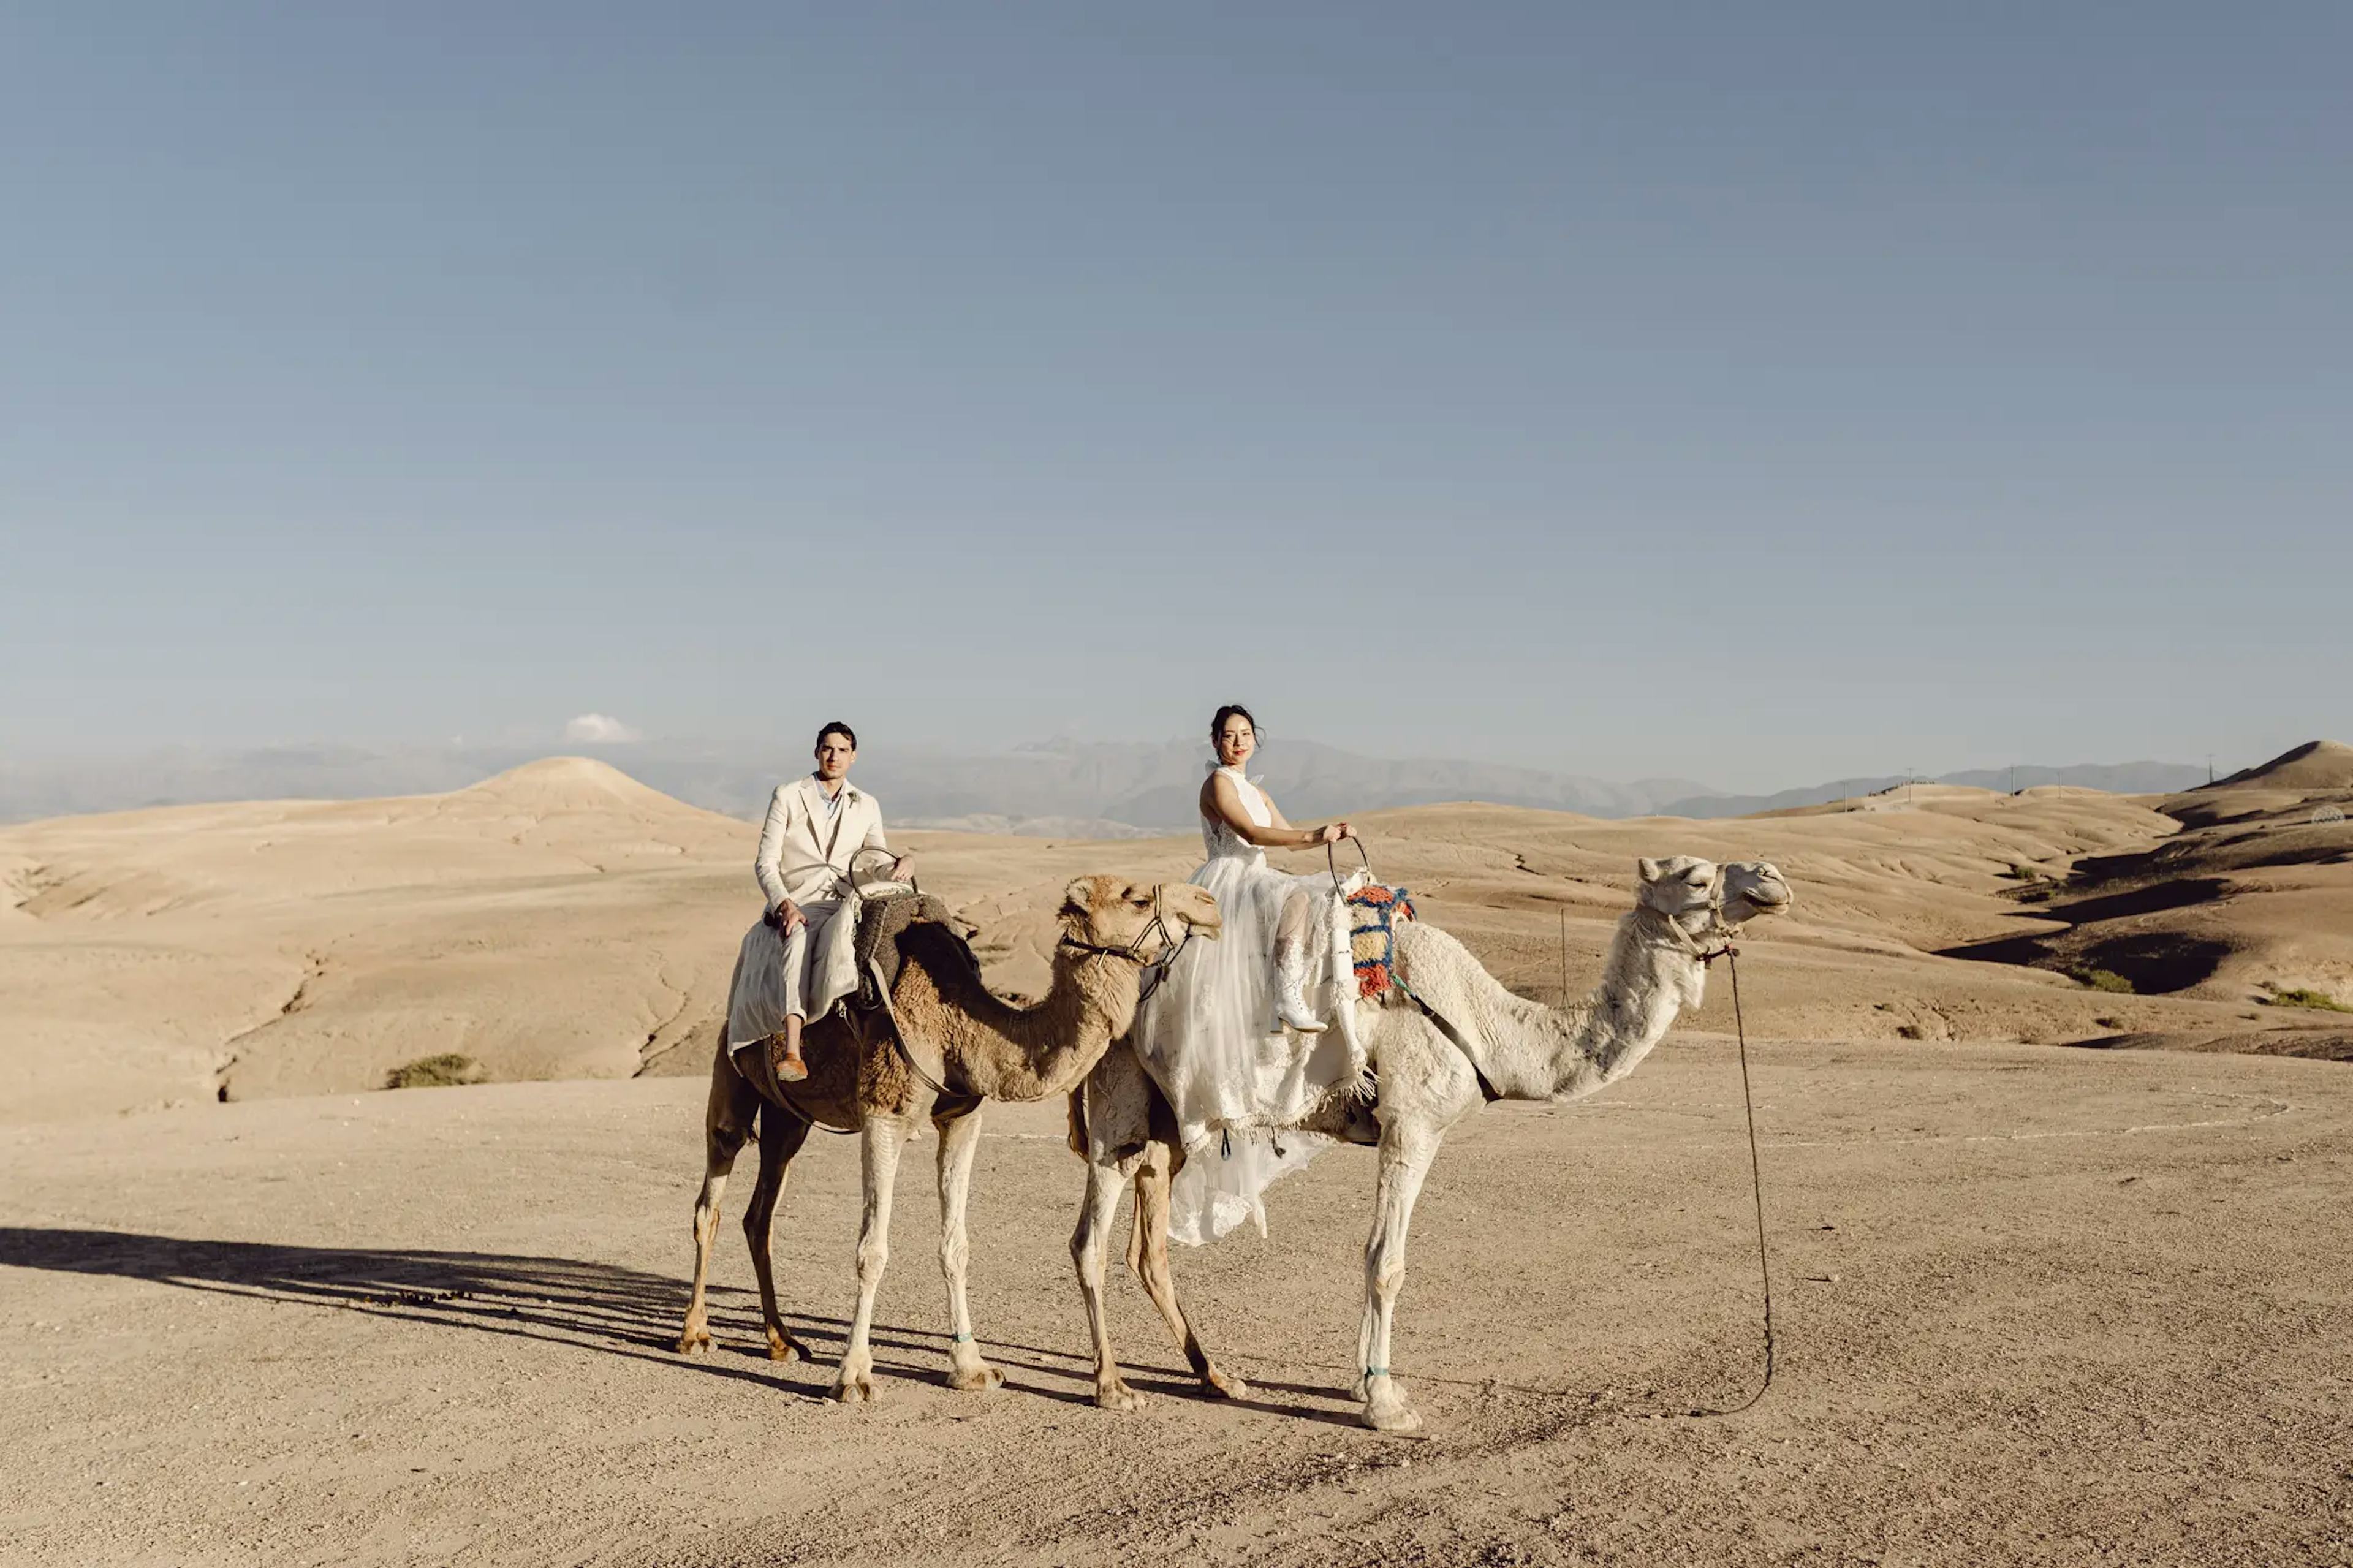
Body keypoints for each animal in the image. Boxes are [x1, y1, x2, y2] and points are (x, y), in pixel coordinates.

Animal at [673, 871, 1223, 1393]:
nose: (1208, 905)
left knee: (760, 1214)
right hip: (731, 1075)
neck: (959, 1021)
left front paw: (971, 1366)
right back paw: (696, 1332)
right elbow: (872, 1249)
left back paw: (781, 1339)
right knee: (711, 1197)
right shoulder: (884, 1112)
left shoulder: (962, 1118)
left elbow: (955, 1245)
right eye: (1136, 898)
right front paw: (854, 1376)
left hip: (790, 1118)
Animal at [1077, 857, 1788, 1431]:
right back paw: (1113, 1388)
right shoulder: (1413, 1123)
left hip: (1168, 1123)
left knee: (1148, 1247)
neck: (1490, 1029)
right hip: (1118, 1102)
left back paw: (1217, 1376)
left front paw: (1364, 1386)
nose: (1772, 879)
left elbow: (1378, 1257)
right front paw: (1386, 1405)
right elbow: (1385, 1260)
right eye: (1693, 877)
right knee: (1091, 1239)